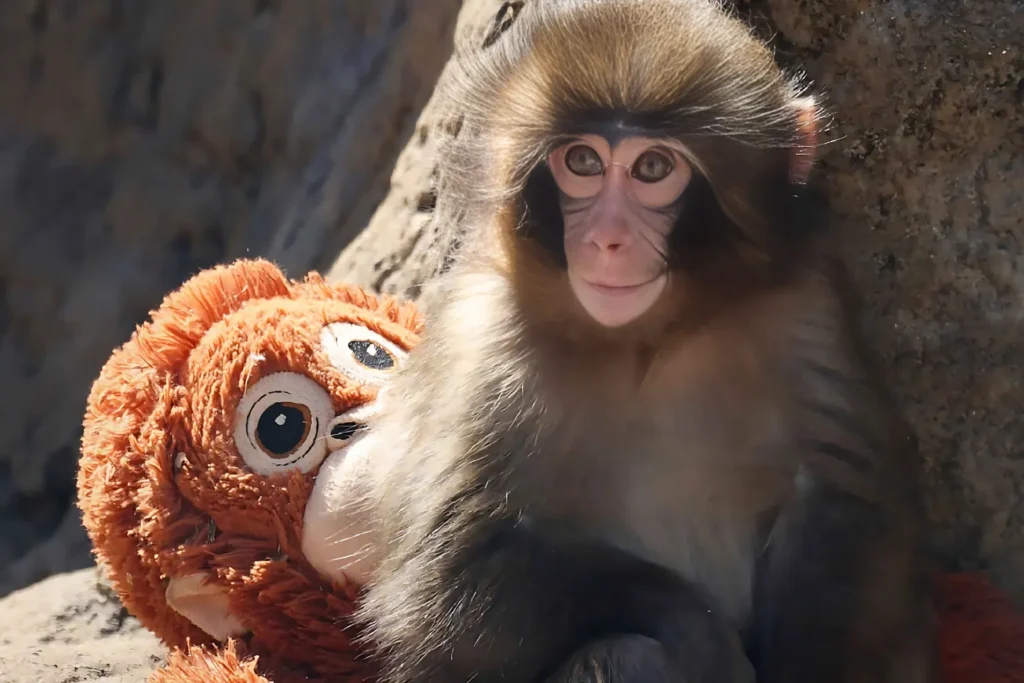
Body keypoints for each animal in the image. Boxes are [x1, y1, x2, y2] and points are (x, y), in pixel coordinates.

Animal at [308, 1, 940, 682]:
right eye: (583, 163)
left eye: (653, 169)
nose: (607, 240)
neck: (647, 341)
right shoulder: (485, 344)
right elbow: (443, 584)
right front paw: (699, 631)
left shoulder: (802, 303)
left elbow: (846, 504)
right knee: (626, 654)